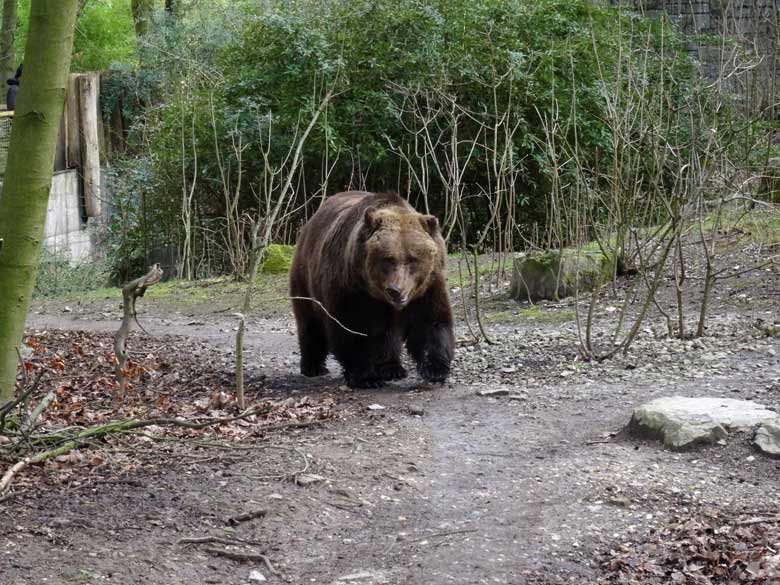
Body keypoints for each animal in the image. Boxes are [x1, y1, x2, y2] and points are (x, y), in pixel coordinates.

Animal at [290, 190, 454, 388]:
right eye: (388, 259)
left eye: (412, 259)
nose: (395, 290)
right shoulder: (353, 290)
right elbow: (353, 330)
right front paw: (366, 377)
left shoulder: (427, 288)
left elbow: (430, 323)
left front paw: (435, 370)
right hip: (305, 278)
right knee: (310, 323)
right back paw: (313, 367)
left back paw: (392, 368)